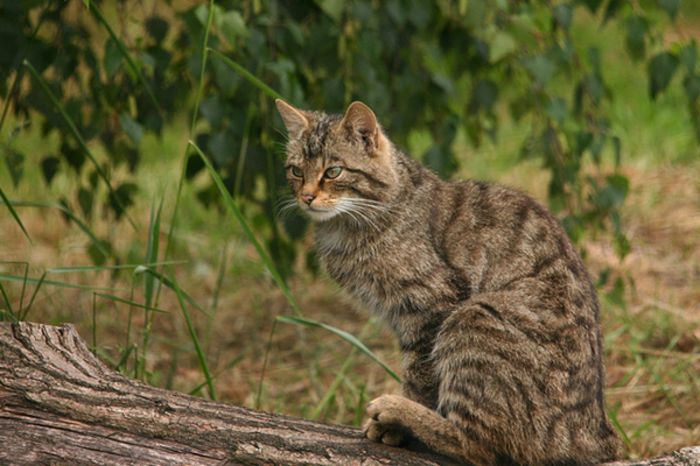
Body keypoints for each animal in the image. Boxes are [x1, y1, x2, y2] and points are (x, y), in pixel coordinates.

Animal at [276, 99, 620, 466]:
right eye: (296, 171)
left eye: (333, 172)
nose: (307, 197)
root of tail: (598, 434)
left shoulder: (430, 308)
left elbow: (420, 377)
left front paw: (395, 429)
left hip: (474, 317)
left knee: (479, 446)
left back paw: (396, 410)